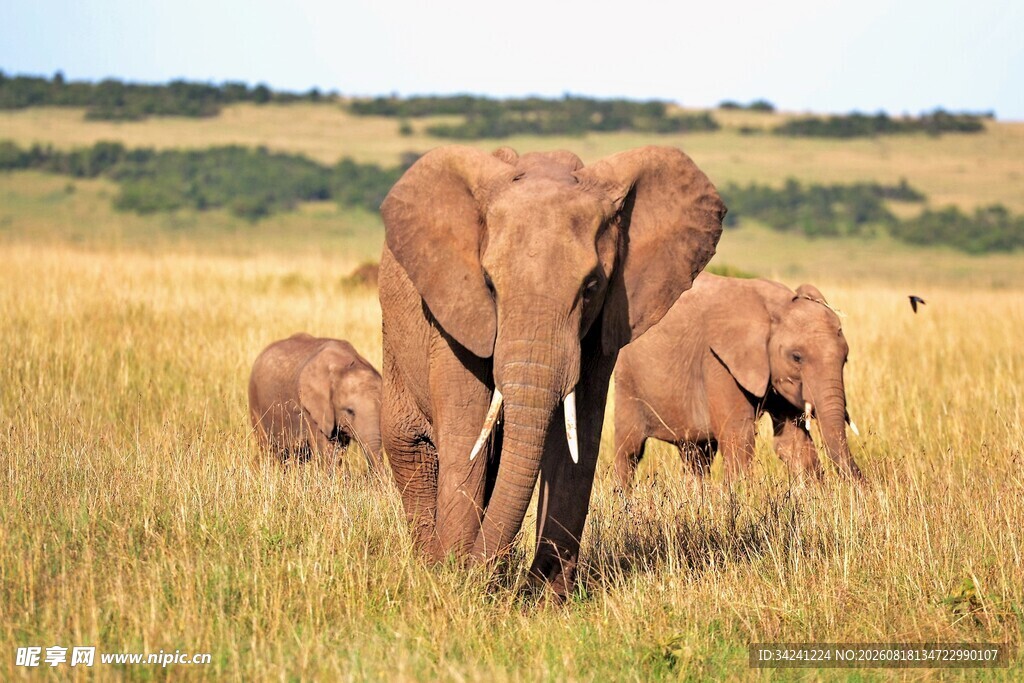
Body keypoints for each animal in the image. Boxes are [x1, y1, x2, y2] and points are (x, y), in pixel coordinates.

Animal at [378, 144, 725, 598]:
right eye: (489, 284)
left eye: (591, 286)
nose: (474, 572)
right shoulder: (454, 313)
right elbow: (467, 431)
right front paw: (454, 580)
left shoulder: (602, 325)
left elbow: (578, 438)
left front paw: (545, 597)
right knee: (412, 448)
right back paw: (430, 566)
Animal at [613, 273, 863, 490]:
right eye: (797, 357)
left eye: (845, 358)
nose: (861, 485)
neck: (776, 306)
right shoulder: (718, 361)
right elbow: (739, 438)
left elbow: (793, 443)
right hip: (627, 377)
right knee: (630, 450)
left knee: (697, 454)